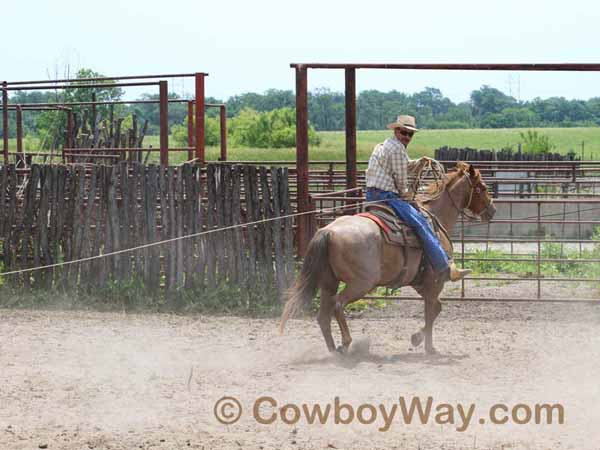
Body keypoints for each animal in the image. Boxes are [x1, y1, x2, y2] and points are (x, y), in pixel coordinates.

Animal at [278, 162, 494, 356]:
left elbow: (435, 308)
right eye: (482, 188)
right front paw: (425, 344)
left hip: (328, 282)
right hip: (361, 283)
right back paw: (346, 344)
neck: (435, 216)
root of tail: (328, 231)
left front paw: (421, 340)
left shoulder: (421, 283)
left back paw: (333, 351)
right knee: (337, 305)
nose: (492, 210)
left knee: (323, 316)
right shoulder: (435, 280)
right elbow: (433, 310)